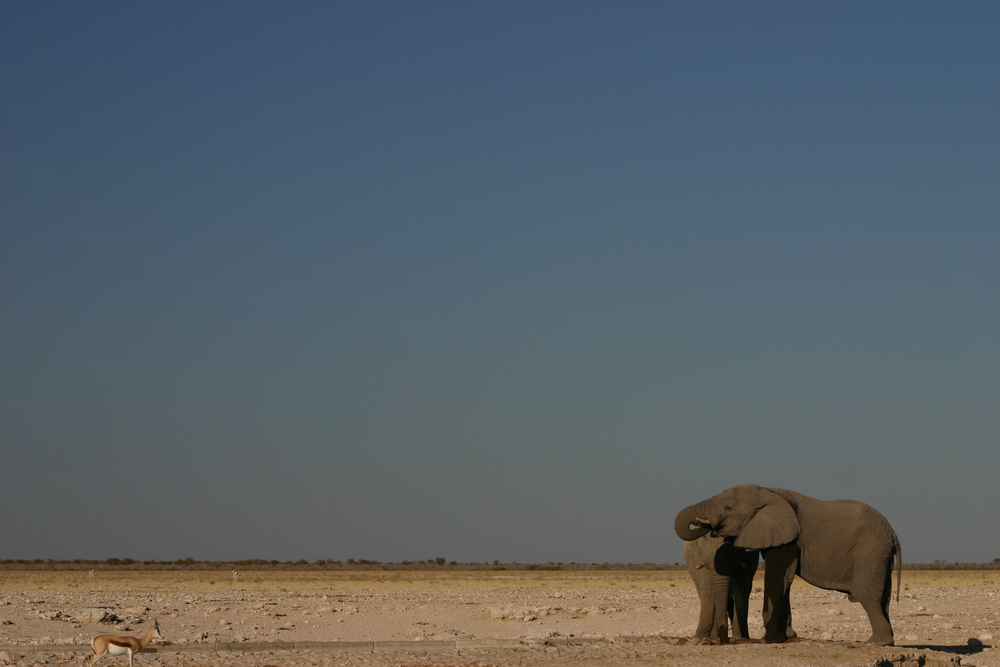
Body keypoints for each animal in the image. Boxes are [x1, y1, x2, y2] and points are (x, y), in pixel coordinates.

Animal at [676, 488, 904, 644]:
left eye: (728, 508)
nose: (704, 525)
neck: (767, 491)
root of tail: (893, 534)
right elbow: (784, 580)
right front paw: (787, 636)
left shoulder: (788, 540)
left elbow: (777, 578)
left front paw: (770, 639)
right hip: (881, 556)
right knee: (884, 598)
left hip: (870, 553)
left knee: (867, 595)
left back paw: (877, 642)